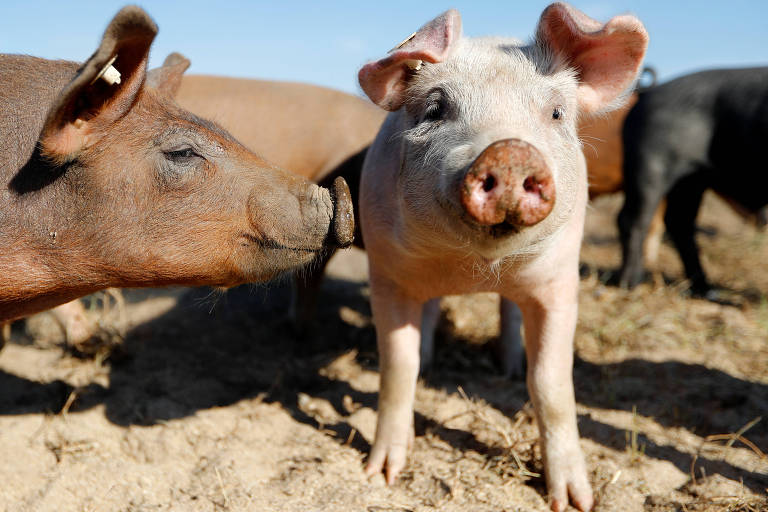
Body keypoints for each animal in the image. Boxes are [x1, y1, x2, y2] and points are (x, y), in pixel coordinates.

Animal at [356, 5, 644, 512]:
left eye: (556, 112)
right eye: (435, 109)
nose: (509, 152)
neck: (472, 268)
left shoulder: (559, 283)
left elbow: (551, 383)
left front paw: (574, 500)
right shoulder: (386, 273)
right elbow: (398, 368)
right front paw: (381, 475)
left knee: (510, 314)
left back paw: (508, 365)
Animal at [616, 68, 768, 300]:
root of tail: (647, 93)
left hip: (691, 180)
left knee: (679, 222)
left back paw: (705, 288)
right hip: (649, 165)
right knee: (633, 219)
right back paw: (631, 284)